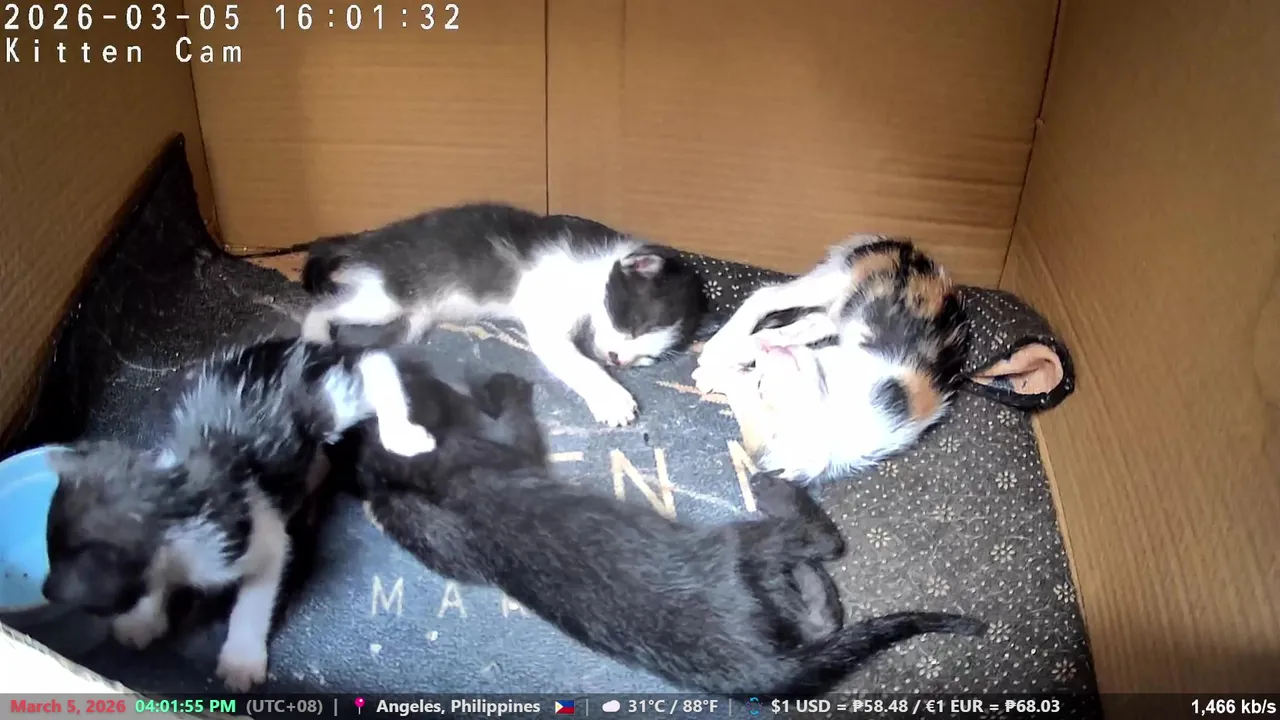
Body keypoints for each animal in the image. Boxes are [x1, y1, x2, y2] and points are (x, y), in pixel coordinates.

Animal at [41, 337, 438, 692]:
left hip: (323, 403)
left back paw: (405, 432)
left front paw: (241, 661)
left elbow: (254, 600)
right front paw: (142, 619)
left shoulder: (262, 537)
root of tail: (294, 345)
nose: (45, 588)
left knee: (368, 368)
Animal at [297, 202, 704, 427]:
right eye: (633, 324)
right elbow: (577, 361)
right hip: (384, 297)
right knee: (324, 304)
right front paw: (612, 397)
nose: (620, 360)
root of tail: (367, 241)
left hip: (409, 314)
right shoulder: (546, 311)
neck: (595, 270)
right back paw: (314, 333)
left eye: (650, 355)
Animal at [346, 364, 986, 697]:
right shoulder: (503, 445)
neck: (415, 476)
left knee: (822, 617)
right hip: (740, 546)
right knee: (822, 547)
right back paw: (777, 494)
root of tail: (758, 667)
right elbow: (514, 421)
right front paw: (497, 378)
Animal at [693, 234, 969, 483]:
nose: (766, 355)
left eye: (761, 385)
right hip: (834, 281)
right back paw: (721, 343)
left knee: (808, 317)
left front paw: (712, 372)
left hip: (837, 293)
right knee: (768, 295)